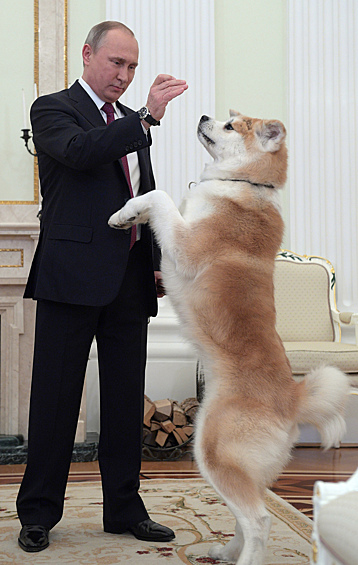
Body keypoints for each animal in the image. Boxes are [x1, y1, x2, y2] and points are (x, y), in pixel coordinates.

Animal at [109, 111, 350, 564]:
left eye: (231, 126)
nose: (205, 114)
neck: (244, 184)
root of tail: (292, 398)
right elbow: (156, 199)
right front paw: (129, 216)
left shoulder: (184, 244)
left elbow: (159, 196)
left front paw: (128, 212)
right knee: (247, 513)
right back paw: (226, 550)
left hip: (212, 450)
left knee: (260, 519)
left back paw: (244, 555)